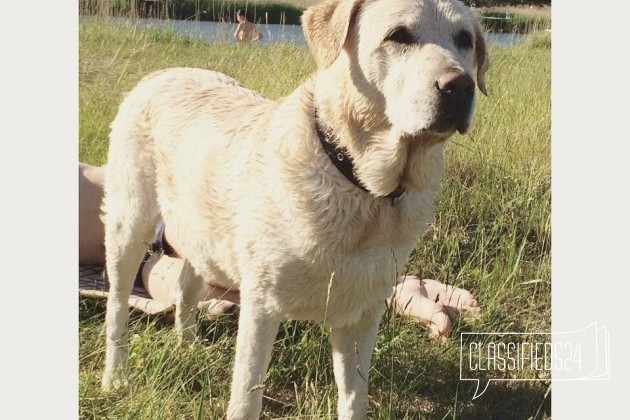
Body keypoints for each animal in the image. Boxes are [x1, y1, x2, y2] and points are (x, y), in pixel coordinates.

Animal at [101, 0, 492, 416]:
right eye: (399, 35)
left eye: (465, 40)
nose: (460, 86)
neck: (359, 185)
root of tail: (161, 73)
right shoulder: (261, 306)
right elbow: (246, 396)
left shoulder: (363, 314)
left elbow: (354, 397)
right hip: (130, 223)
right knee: (118, 305)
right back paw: (116, 376)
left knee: (188, 283)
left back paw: (188, 345)